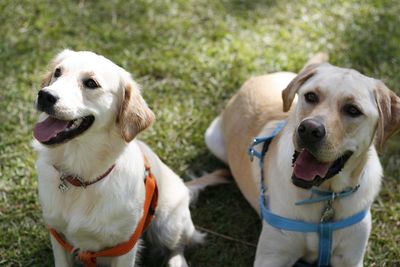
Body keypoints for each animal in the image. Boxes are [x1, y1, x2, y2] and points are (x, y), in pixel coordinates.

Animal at [33, 49, 216, 266]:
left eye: (91, 83)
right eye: (57, 72)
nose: (45, 95)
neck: (81, 178)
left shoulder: (125, 246)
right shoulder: (57, 234)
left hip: (169, 224)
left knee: (177, 248)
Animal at [205, 56, 398, 266]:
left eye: (353, 110)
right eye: (311, 96)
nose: (309, 130)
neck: (325, 196)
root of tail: (253, 79)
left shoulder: (350, 258)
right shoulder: (271, 257)